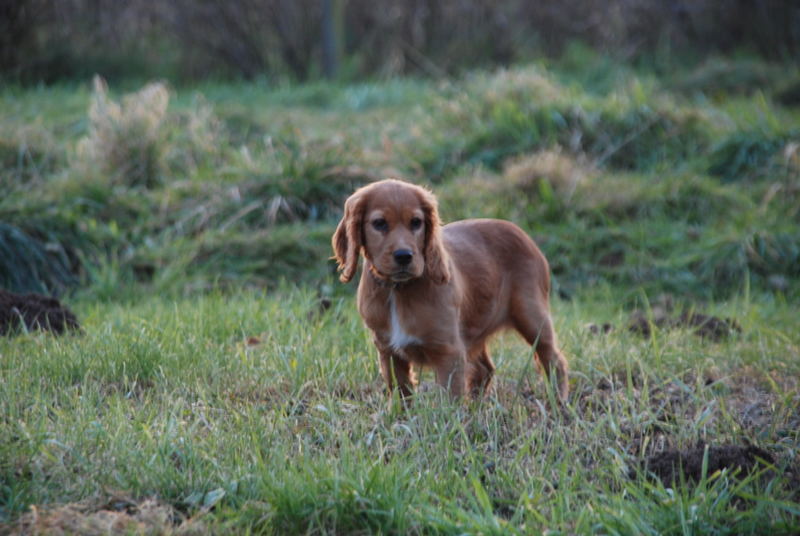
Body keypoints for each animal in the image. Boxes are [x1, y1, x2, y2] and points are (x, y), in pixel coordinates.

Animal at [332, 180, 568, 402]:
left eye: (416, 222)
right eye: (379, 223)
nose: (404, 256)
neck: (398, 290)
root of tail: (523, 234)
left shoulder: (449, 351)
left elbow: (449, 398)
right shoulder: (387, 350)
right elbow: (400, 391)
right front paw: (400, 415)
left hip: (531, 316)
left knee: (553, 359)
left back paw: (559, 402)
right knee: (484, 369)